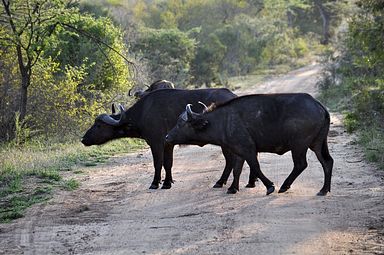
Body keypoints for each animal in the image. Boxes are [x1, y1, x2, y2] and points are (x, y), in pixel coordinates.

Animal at [82, 87, 250, 189]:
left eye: (98, 125)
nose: (83, 139)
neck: (143, 112)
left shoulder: (156, 143)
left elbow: (158, 163)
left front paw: (155, 183)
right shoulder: (168, 144)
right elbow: (168, 163)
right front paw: (168, 182)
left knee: (231, 160)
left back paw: (221, 182)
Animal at [166, 93, 334, 195]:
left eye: (181, 123)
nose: (167, 137)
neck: (223, 121)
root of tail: (319, 106)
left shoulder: (248, 149)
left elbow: (256, 167)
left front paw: (270, 186)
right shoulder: (239, 151)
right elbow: (237, 170)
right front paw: (233, 188)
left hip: (299, 145)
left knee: (301, 164)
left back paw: (284, 186)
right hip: (317, 144)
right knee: (327, 162)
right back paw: (324, 190)